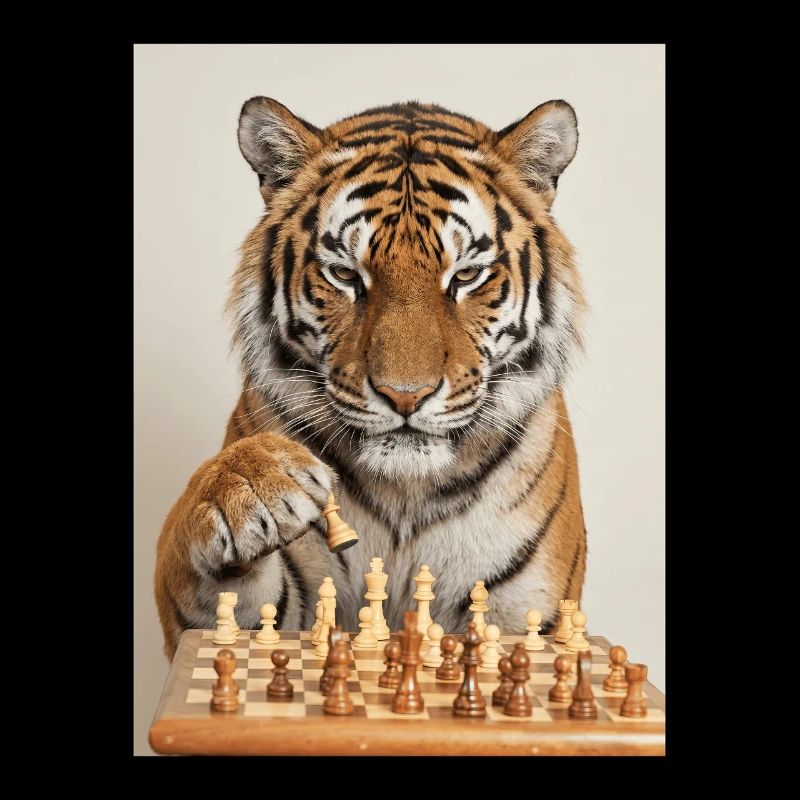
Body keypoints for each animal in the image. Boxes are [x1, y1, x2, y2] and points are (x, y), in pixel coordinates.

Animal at [154, 97, 588, 660]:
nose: (406, 397)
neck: (406, 498)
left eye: (466, 276)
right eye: (345, 274)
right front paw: (249, 483)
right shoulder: (244, 619)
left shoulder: (530, 616)